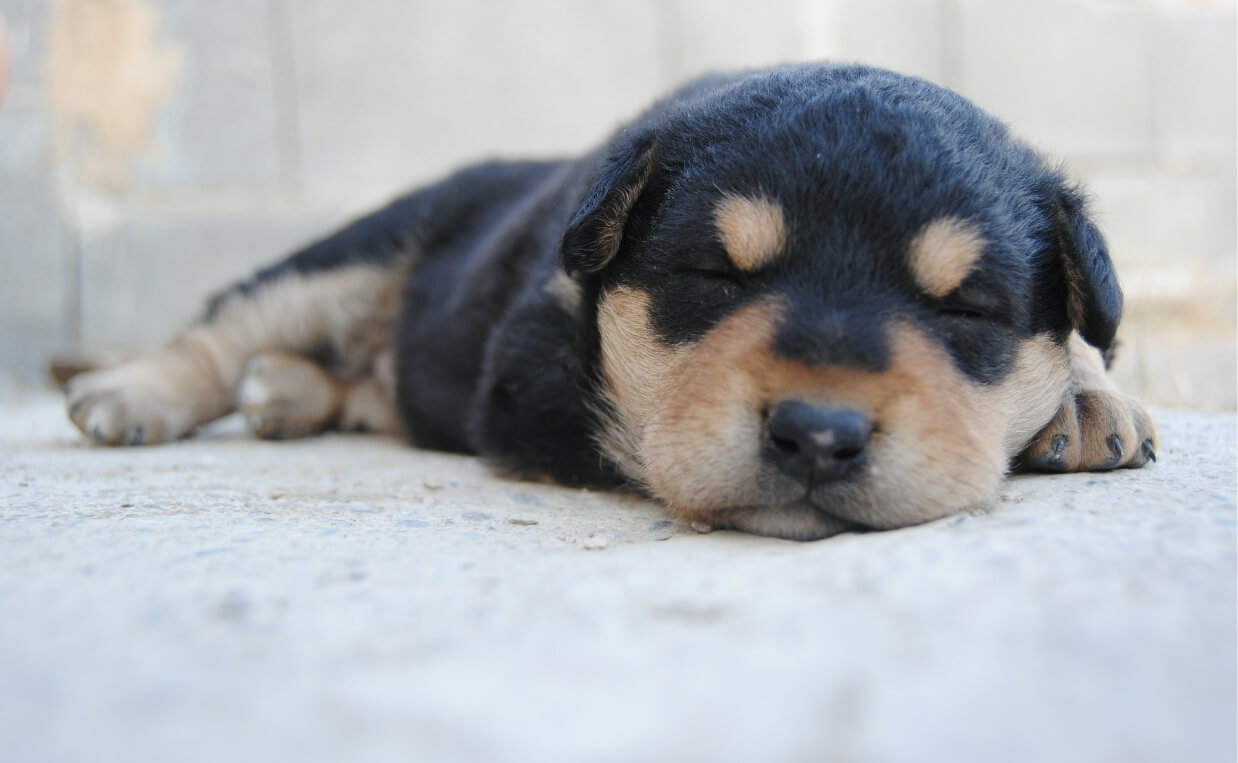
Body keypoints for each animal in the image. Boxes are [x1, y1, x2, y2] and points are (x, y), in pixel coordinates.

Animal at [62, 65, 1153, 542]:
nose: (817, 435)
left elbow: (1087, 337)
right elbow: (646, 426)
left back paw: (282, 395)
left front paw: (1085, 393)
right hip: (358, 250)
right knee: (231, 322)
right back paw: (130, 394)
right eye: (715, 277)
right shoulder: (533, 375)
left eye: (965, 309)